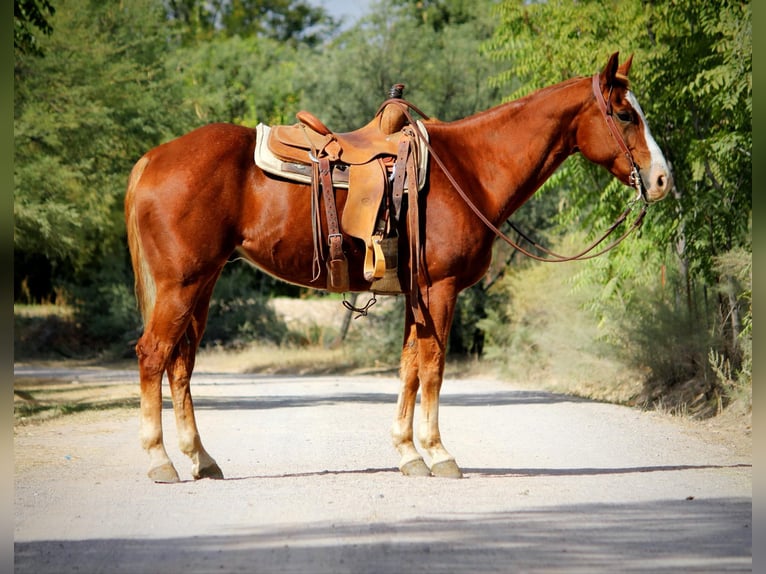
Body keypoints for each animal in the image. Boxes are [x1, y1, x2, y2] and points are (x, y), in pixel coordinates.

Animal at [125, 52, 672, 482]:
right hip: (182, 282)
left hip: (202, 283)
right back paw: (160, 462)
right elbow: (433, 368)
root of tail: (152, 159)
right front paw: (439, 453)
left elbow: (409, 366)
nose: (663, 180)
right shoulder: (440, 290)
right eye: (624, 114)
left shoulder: (416, 294)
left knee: (181, 362)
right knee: (154, 355)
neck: (471, 169)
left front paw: (409, 454)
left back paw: (201, 460)